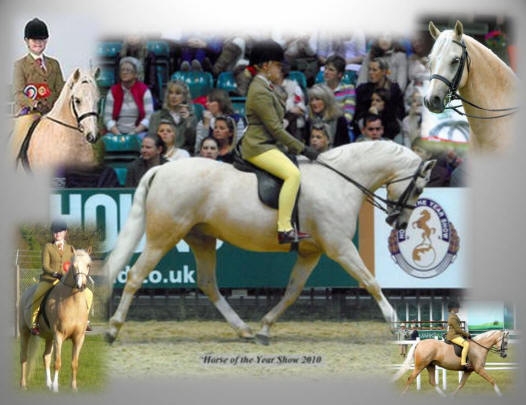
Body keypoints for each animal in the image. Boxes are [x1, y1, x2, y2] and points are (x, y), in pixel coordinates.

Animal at [20, 246, 93, 392]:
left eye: (88, 265)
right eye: (73, 265)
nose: (81, 286)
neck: (72, 302)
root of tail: (26, 293)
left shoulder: (79, 338)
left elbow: (74, 363)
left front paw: (73, 387)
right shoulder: (58, 336)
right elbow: (57, 362)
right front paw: (55, 387)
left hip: (49, 337)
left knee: (46, 357)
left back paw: (47, 384)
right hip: (25, 332)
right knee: (24, 357)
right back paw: (23, 384)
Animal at [104, 142, 438, 344]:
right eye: (418, 187)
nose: (399, 224)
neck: (339, 182)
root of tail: (162, 168)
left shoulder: (311, 252)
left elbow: (292, 292)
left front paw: (265, 327)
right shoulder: (340, 247)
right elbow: (370, 282)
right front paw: (398, 326)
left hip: (202, 238)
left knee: (208, 283)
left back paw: (244, 329)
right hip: (164, 236)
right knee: (135, 276)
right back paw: (113, 328)